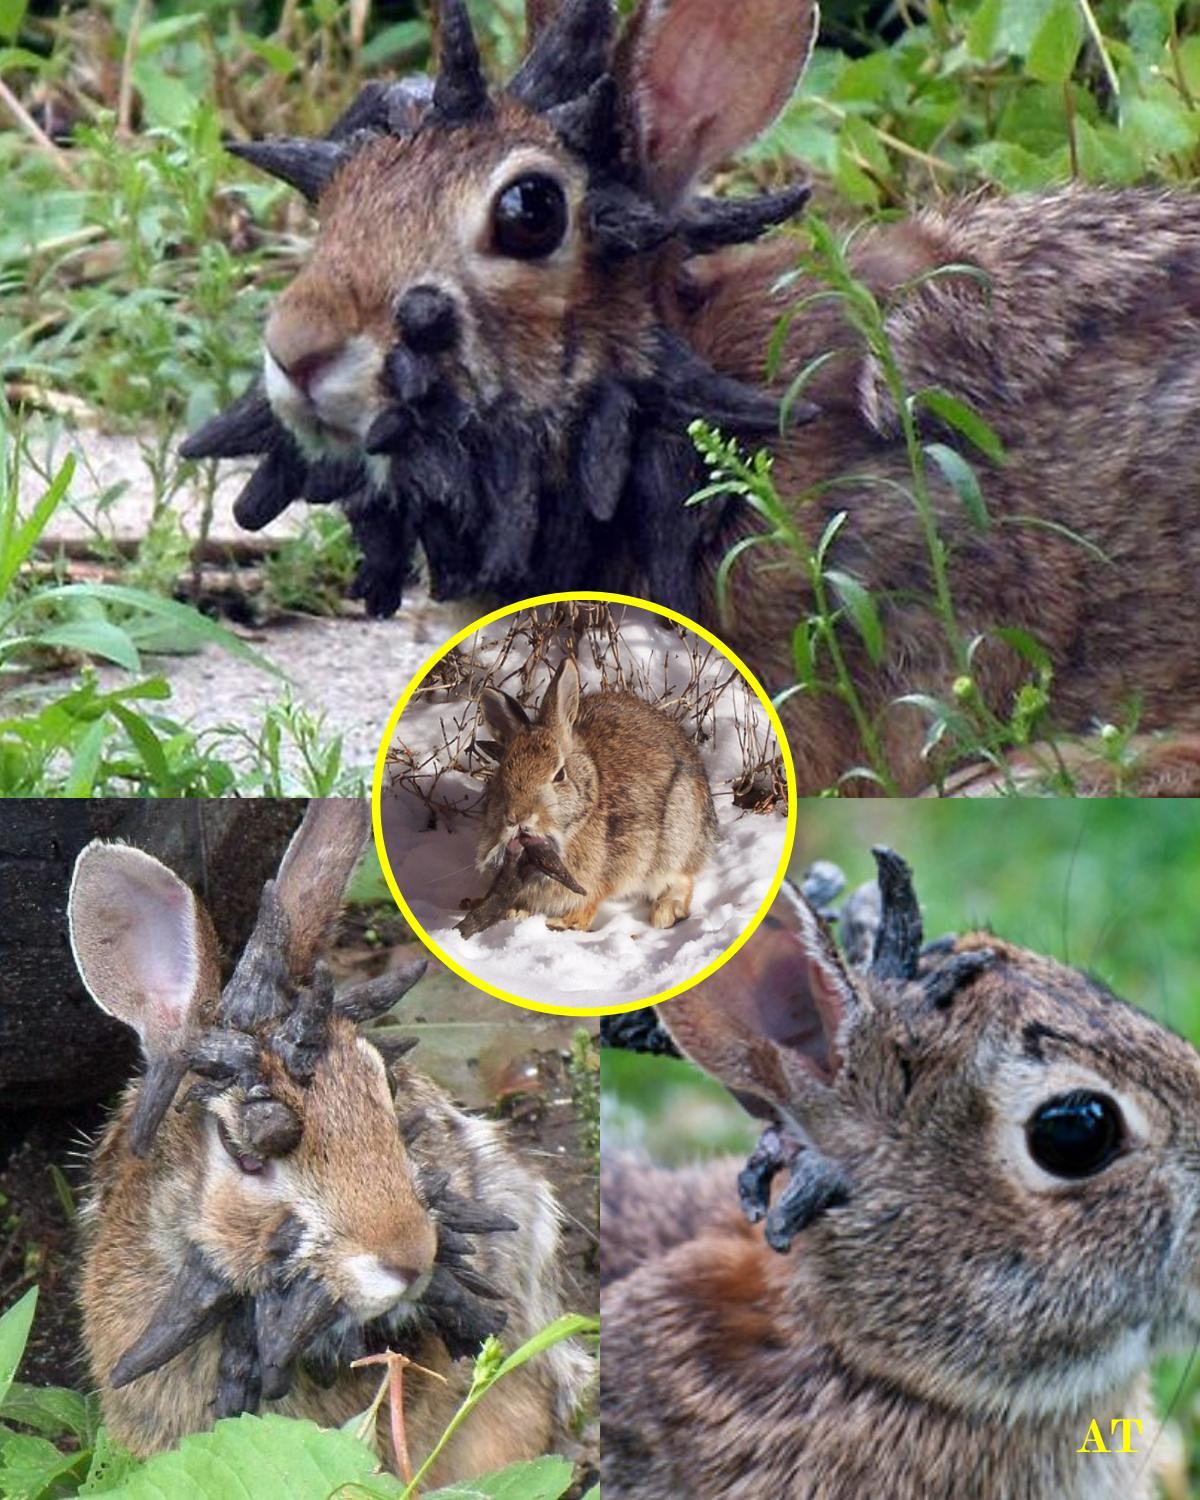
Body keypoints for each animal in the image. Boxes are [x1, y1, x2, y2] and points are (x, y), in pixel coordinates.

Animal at [476, 656, 717, 931]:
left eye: (559, 775)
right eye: (502, 773)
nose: (518, 817)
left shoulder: (608, 873)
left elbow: (590, 902)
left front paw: (563, 922)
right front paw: (516, 912)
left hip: (676, 839)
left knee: (682, 879)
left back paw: (666, 912)